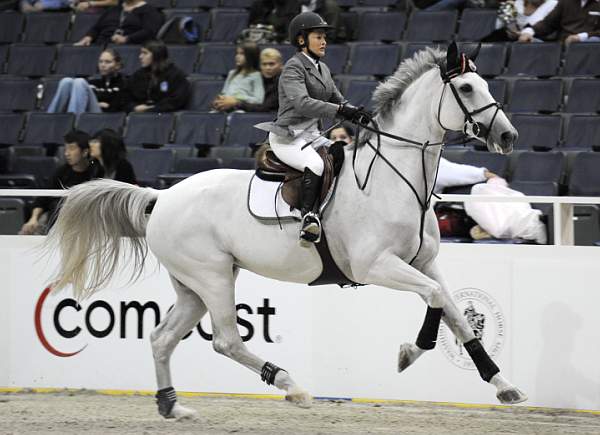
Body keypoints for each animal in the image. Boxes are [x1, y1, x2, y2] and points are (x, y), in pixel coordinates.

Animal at [45, 44, 524, 418]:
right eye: (467, 89)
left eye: (485, 85)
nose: (508, 136)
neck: (395, 178)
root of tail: (162, 197)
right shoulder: (376, 266)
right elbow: (437, 301)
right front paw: (410, 352)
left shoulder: (424, 262)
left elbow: (454, 312)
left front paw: (502, 385)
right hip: (212, 277)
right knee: (225, 340)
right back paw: (293, 387)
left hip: (194, 285)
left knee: (163, 338)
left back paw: (173, 406)